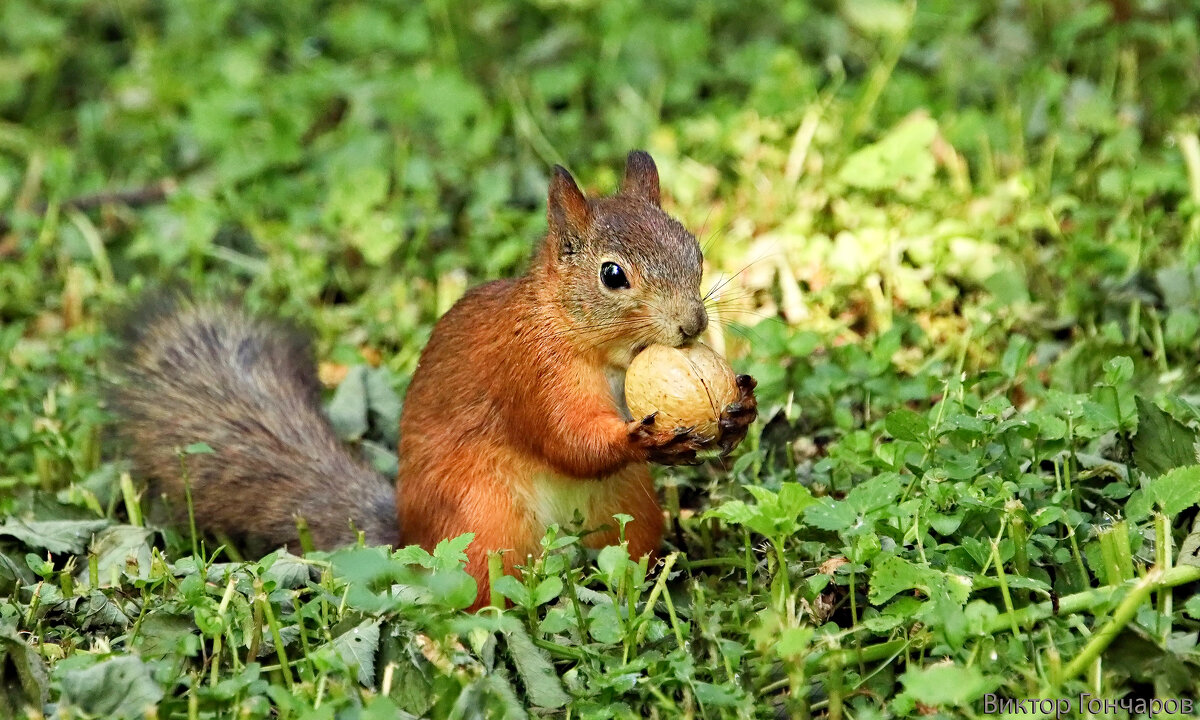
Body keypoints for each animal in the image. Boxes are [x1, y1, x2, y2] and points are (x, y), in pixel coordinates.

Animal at [111, 151, 758, 609]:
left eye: (694, 250)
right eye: (613, 276)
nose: (692, 324)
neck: (604, 354)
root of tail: (410, 539)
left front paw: (738, 414)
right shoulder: (529, 374)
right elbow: (568, 440)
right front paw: (641, 436)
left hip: (628, 511)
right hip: (484, 524)